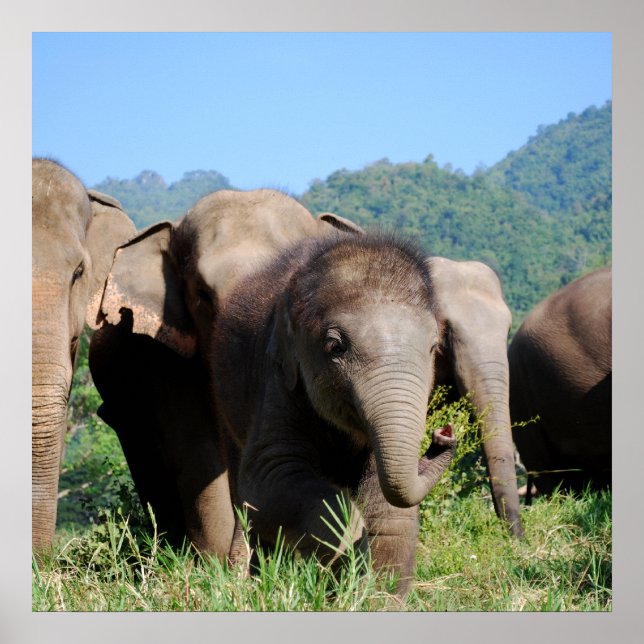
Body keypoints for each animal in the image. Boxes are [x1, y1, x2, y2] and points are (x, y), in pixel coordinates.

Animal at [212, 231, 458, 595]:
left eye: (434, 348)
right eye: (335, 346)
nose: (444, 436)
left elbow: (390, 512)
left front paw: (373, 593)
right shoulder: (278, 379)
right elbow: (266, 478)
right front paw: (351, 561)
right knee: (244, 503)